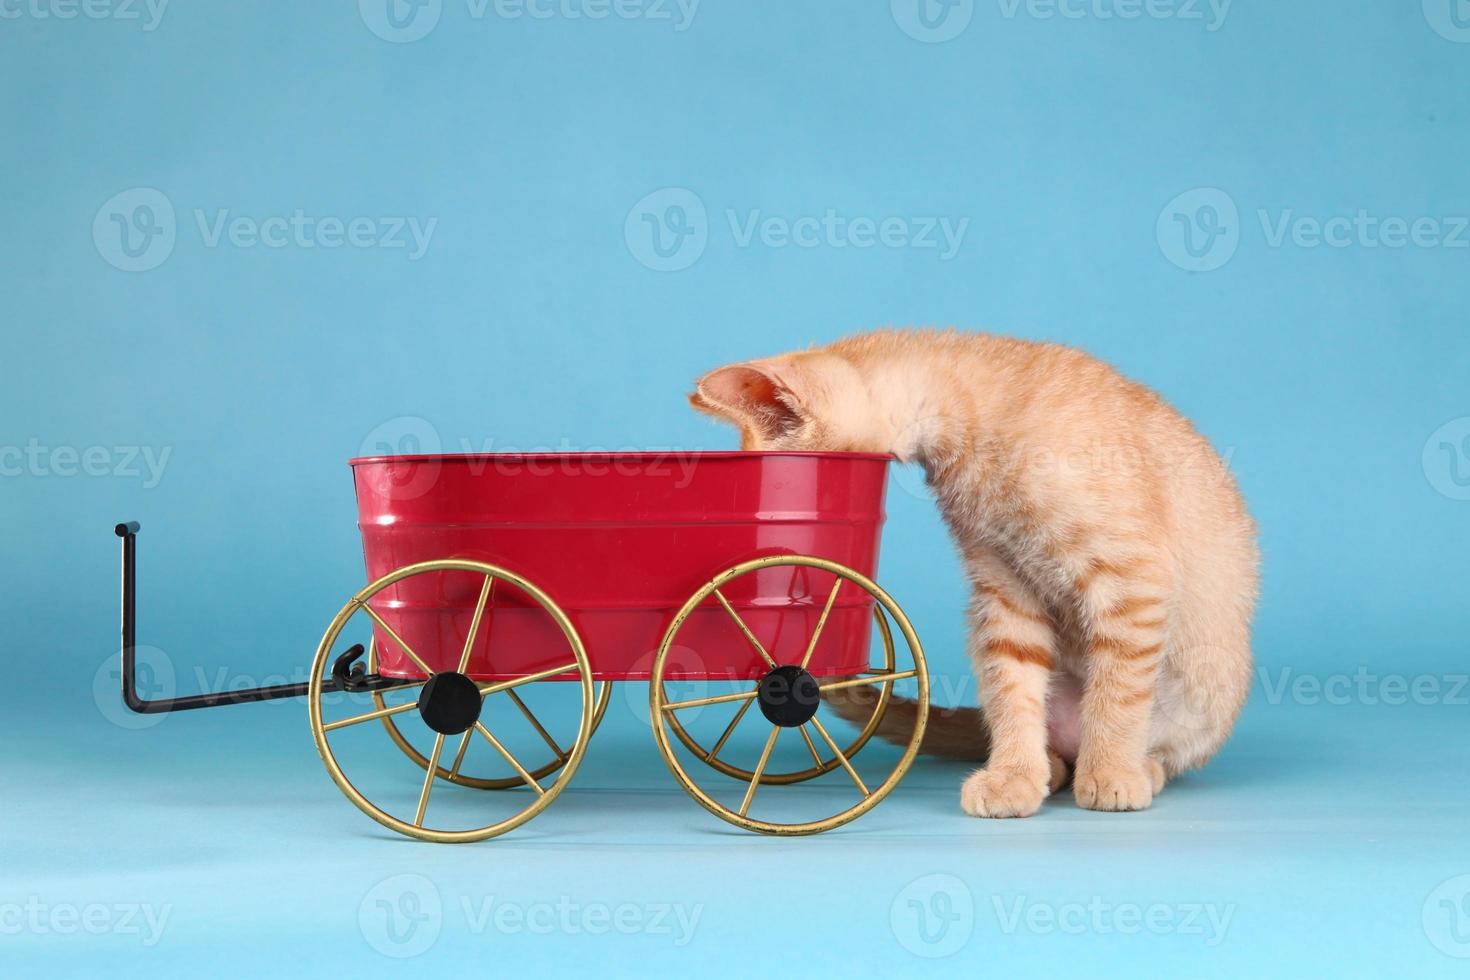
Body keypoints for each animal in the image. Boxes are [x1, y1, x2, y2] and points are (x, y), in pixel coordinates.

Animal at [685, 333, 1252, 816]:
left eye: (785, 475)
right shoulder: (1005, 590)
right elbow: (1014, 688)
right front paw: (1014, 776)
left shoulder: (1132, 580)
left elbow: (1118, 688)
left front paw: (1111, 768)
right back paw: (1048, 766)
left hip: (1206, 693)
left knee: (1166, 745)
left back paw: (1137, 766)